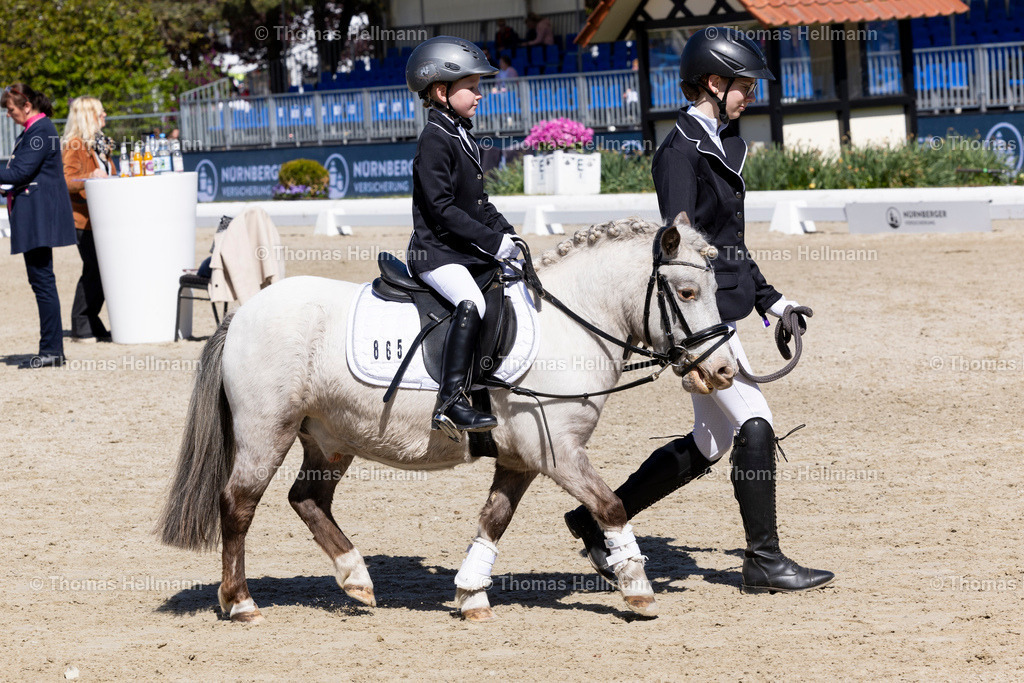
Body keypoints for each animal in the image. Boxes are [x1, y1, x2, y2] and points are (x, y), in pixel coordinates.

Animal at [158, 215, 737, 623]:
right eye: (687, 293)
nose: (723, 371)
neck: (570, 323)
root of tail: (243, 312)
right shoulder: (558, 453)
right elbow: (611, 505)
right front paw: (638, 589)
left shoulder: (520, 458)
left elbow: (494, 520)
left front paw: (470, 594)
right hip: (267, 432)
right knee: (238, 505)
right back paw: (241, 603)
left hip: (329, 438)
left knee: (307, 500)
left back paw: (356, 579)